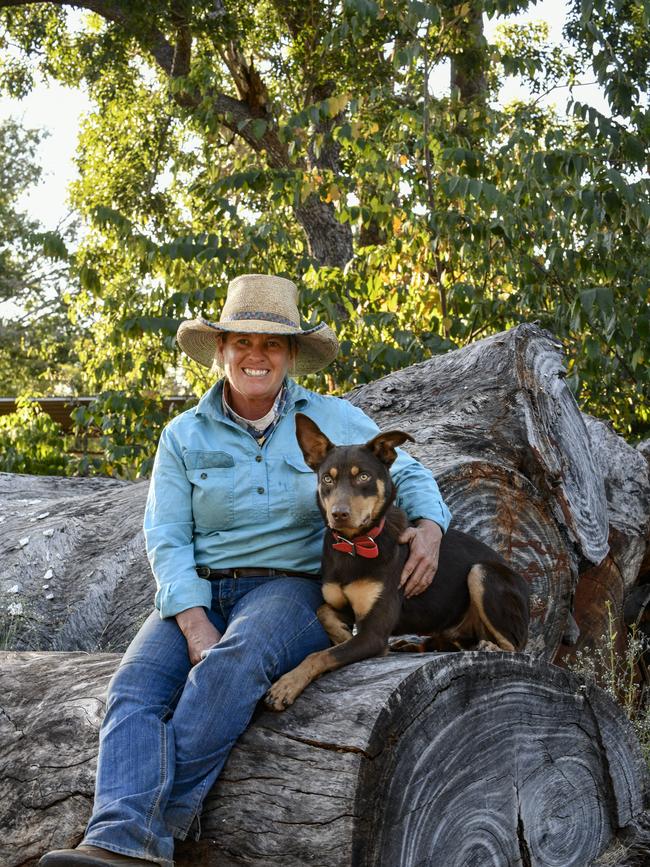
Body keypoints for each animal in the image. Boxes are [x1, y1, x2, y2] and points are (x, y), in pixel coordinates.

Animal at [264, 414, 528, 712]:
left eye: (364, 476)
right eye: (328, 479)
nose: (339, 514)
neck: (353, 546)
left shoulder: (373, 634)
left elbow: (320, 655)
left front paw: (287, 684)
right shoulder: (342, 607)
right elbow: (323, 612)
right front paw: (342, 634)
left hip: (482, 573)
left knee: (516, 646)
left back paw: (488, 647)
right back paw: (413, 646)